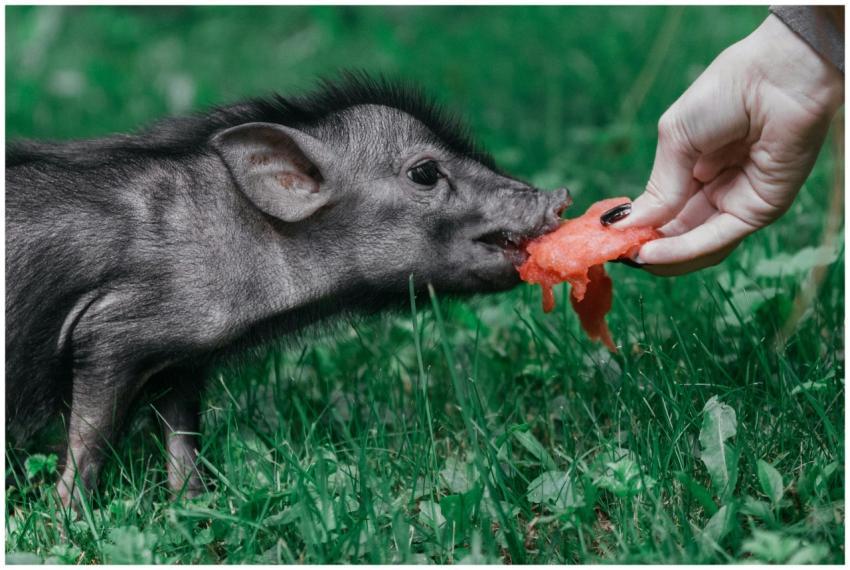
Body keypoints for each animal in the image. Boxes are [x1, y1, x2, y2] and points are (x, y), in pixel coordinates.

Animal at [6, 73, 570, 506]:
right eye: (426, 172)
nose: (561, 194)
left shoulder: (183, 357)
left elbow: (183, 436)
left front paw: (197, 507)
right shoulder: (108, 333)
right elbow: (91, 435)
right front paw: (68, 518)